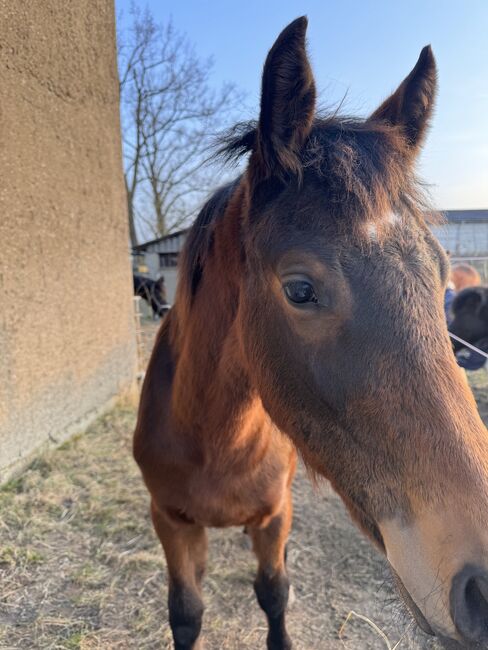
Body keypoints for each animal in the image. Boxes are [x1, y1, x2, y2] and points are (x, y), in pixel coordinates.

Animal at [133, 17, 488, 644]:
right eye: (300, 289)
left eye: (441, 272)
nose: (484, 590)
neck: (212, 439)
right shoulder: (170, 521)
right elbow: (186, 613)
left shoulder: (276, 517)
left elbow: (274, 595)